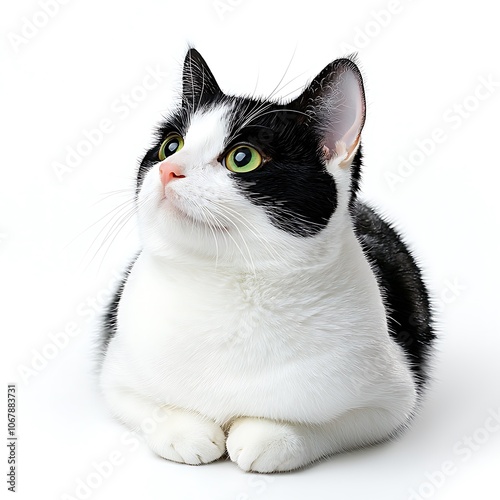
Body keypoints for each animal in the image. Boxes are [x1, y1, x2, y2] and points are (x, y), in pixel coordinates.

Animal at [97, 47, 434, 472]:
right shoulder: (114, 371)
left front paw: (271, 436)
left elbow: (329, 425)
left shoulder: (393, 396)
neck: (226, 284)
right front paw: (185, 431)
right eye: (170, 146)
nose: (169, 169)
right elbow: (147, 406)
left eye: (243, 158)